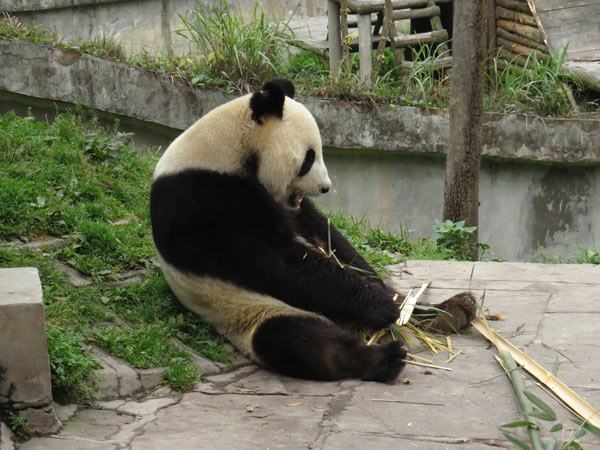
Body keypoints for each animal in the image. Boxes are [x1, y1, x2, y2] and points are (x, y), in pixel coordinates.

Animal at [149, 79, 474, 382]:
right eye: (309, 158)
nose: (325, 187)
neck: (228, 149)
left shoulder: (288, 206)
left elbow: (328, 237)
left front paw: (378, 291)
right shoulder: (206, 200)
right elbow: (278, 262)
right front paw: (378, 305)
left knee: (405, 300)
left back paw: (450, 311)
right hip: (249, 311)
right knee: (298, 338)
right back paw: (384, 357)